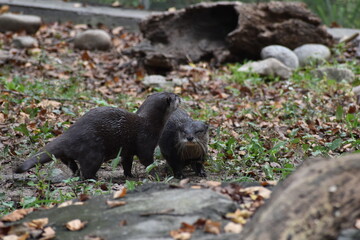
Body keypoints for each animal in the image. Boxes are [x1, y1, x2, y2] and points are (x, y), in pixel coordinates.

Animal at [14, 93, 180, 179]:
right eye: (175, 97)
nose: (180, 96)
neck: (150, 123)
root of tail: (70, 133)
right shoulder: (145, 142)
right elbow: (147, 161)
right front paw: (155, 173)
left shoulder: (127, 151)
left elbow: (127, 163)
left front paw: (129, 175)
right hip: (94, 152)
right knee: (87, 170)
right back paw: (94, 178)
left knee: (71, 163)